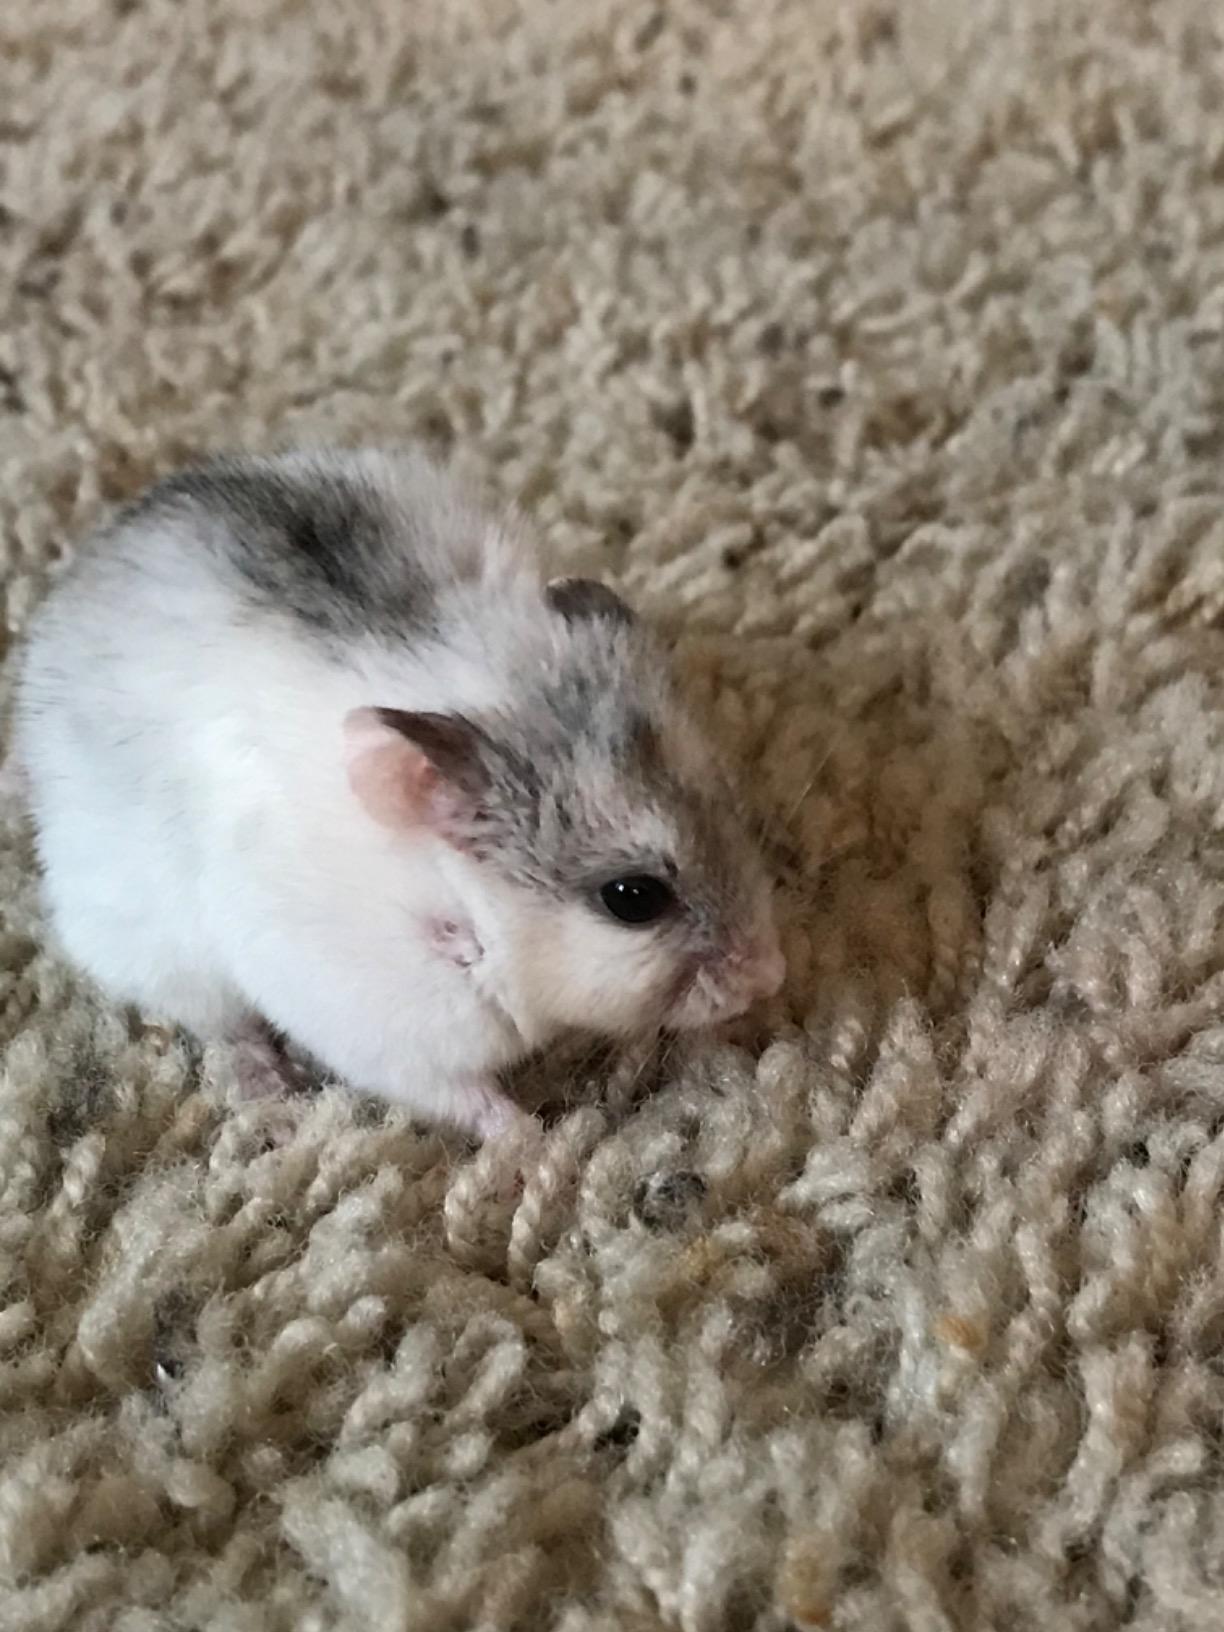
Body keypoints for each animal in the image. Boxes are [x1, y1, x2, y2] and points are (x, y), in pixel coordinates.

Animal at [15, 448, 785, 1138]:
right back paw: (269, 1089)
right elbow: (462, 1096)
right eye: (633, 898)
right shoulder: (377, 1025)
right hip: (156, 949)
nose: (770, 978)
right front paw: (533, 1140)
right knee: (219, 1025)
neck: (457, 900)